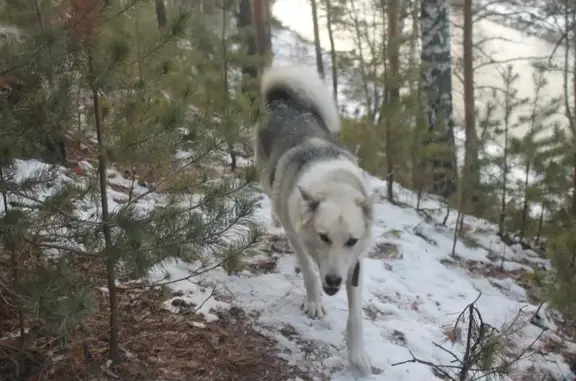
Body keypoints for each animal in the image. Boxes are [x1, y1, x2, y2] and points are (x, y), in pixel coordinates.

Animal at [253, 65, 374, 374]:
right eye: (323, 237)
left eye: (351, 241)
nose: (333, 280)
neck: (335, 185)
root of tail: (283, 101)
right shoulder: (296, 234)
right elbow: (308, 270)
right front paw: (314, 301)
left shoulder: (355, 263)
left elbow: (356, 314)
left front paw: (358, 355)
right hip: (265, 176)